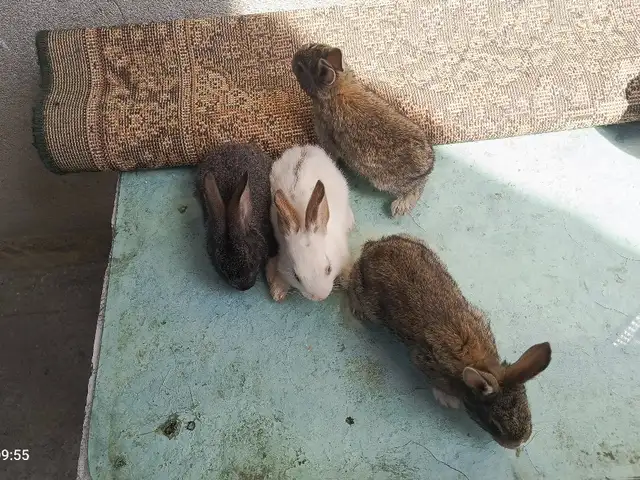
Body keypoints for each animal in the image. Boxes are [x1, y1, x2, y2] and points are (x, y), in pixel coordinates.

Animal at [266, 144, 355, 302]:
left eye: (329, 269)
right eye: (296, 277)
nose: (319, 297)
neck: (302, 221)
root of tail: (305, 148)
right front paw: (277, 291)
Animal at [292, 43, 435, 217]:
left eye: (301, 68)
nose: (293, 58)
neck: (335, 90)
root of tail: (428, 167)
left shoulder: (326, 135)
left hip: (385, 181)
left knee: (415, 190)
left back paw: (399, 206)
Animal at [346, 234, 552, 449]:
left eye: (528, 411)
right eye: (495, 424)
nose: (518, 444)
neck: (480, 364)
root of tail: (372, 248)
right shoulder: (425, 360)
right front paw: (448, 400)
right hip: (369, 303)